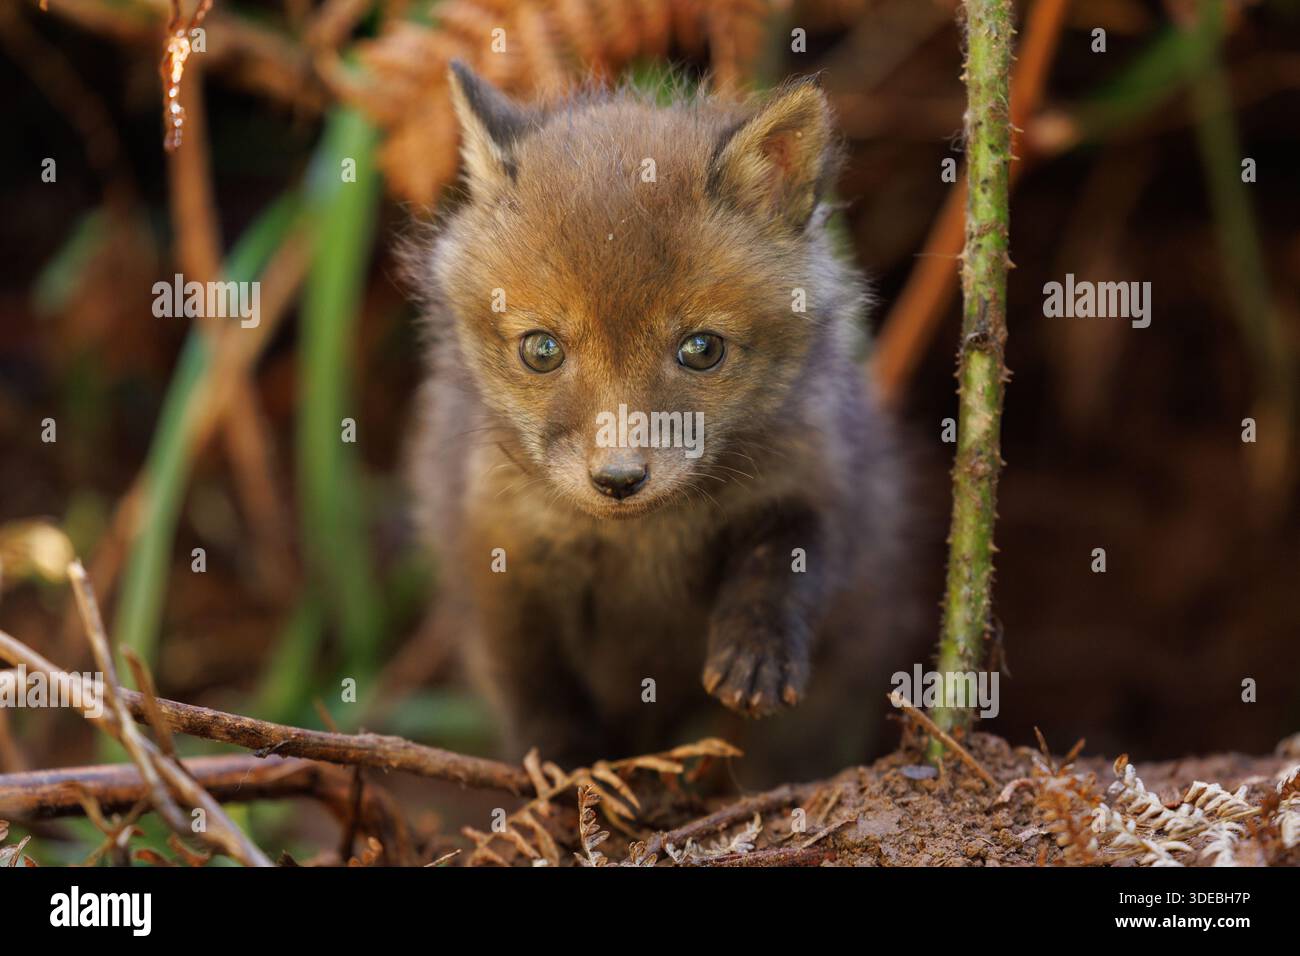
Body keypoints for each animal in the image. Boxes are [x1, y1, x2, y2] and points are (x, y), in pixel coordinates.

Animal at [408, 62, 921, 784]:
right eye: (542, 350)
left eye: (701, 349)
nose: (619, 479)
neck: (643, 539)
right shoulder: (499, 548)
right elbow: (534, 683)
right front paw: (564, 764)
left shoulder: (817, 479)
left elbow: (785, 563)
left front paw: (756, 651)